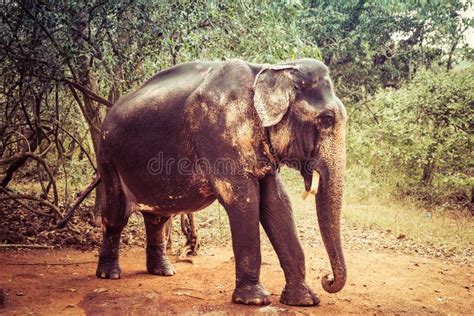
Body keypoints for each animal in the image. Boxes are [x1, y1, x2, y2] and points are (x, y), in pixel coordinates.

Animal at [97, 57, 348, 306]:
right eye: (327, 119)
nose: (327, 278)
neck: (268, 70)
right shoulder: (218, 132)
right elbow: (243, 200)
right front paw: (254, 300)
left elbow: (278, 203)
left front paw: (305, 300)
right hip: (108, 158)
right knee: (116, 215)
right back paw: (109, 274)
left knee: (158, 217)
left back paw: (163, 272)